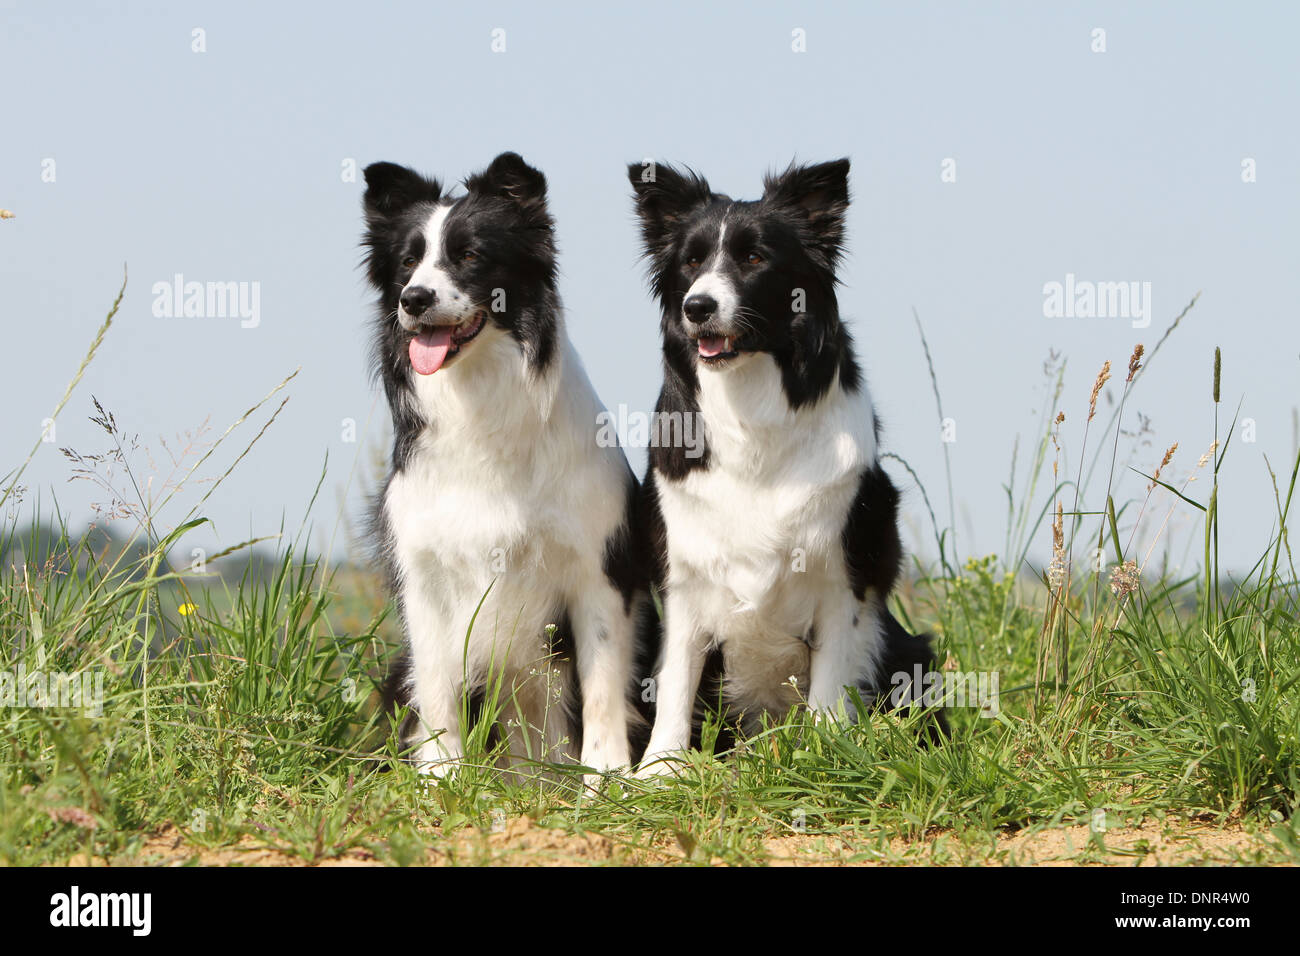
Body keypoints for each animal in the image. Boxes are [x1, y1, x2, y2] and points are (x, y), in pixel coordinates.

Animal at [364, 149, 647, 780]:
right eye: (407, 262)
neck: (479, 402)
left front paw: (605, 783)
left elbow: (602, 692)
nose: (414, 299)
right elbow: (438, 697)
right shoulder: (424, 576)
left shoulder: (598, 571)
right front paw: (440, 783)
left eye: (470, 255)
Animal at [624, 157, 941, 770]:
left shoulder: (846, 574)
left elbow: (831, 679)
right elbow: (675, 681)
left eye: (754, 258)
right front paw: (660, 771)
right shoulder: (682, 573)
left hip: (910, 650)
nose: (697, 306)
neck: (751, 407)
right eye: (691, 262)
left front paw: (823, 755)